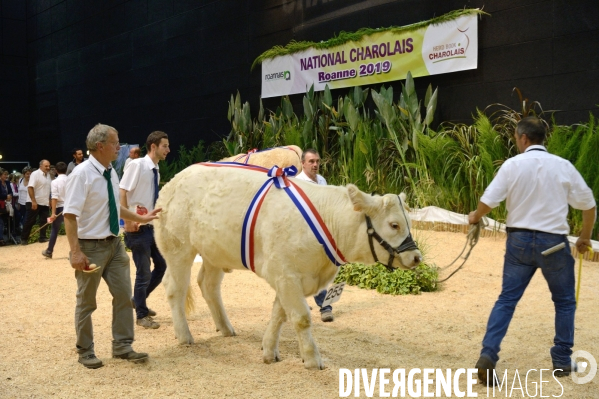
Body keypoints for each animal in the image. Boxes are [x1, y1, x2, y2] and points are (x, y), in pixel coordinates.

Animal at [157, 164, 424, 370]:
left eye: (409, 224)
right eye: (394, 225)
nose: (416, 257)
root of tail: (175, 179)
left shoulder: (291, 277)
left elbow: (280, 314)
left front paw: (268, 351)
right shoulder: (285, 273)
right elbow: (301, 317)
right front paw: (312, 359)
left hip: (214, 252)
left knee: (208, 285)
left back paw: (225, 328)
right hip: (178, 248)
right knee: (175, 289)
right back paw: (185, 335)